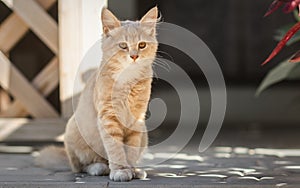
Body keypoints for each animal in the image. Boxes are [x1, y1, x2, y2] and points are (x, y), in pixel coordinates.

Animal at [35, 6, 159, 181]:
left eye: (142, 45)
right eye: (123, 46)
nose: (134, 56)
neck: (127, 81)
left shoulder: (137, 120)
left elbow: (131, 151)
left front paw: (132, 169)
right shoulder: (108, 118)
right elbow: (116, 149)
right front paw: (121, 170)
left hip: (144, 134)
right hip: (74, 131)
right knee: (81, 166)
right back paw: (99, 167)